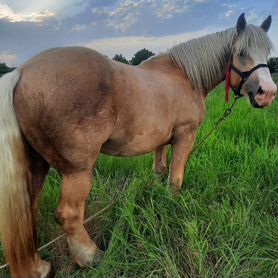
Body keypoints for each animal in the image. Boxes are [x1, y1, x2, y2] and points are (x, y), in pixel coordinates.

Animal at [0, 12, 276, 276]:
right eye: (241, 52)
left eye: (266, 53)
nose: (268, 93)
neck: (184, 76)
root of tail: (21, 71)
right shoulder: (185, 136)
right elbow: (175, 180)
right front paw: (173, 205)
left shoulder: (162, 141)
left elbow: (160, 171)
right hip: (76, 170)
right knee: (69, 215)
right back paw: (90, 256)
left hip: (37, 164)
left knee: (29, 212)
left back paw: (39, 267)